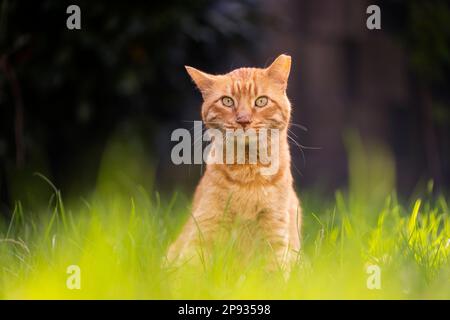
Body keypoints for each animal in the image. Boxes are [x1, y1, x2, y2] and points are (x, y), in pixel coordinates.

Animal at [169, 55, 302, 272]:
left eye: (261, 101)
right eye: (227, 101)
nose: (243, 120)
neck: (247, 173)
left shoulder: (276, 235)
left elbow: (273, 274)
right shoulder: (204, 230)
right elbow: (191, 272)